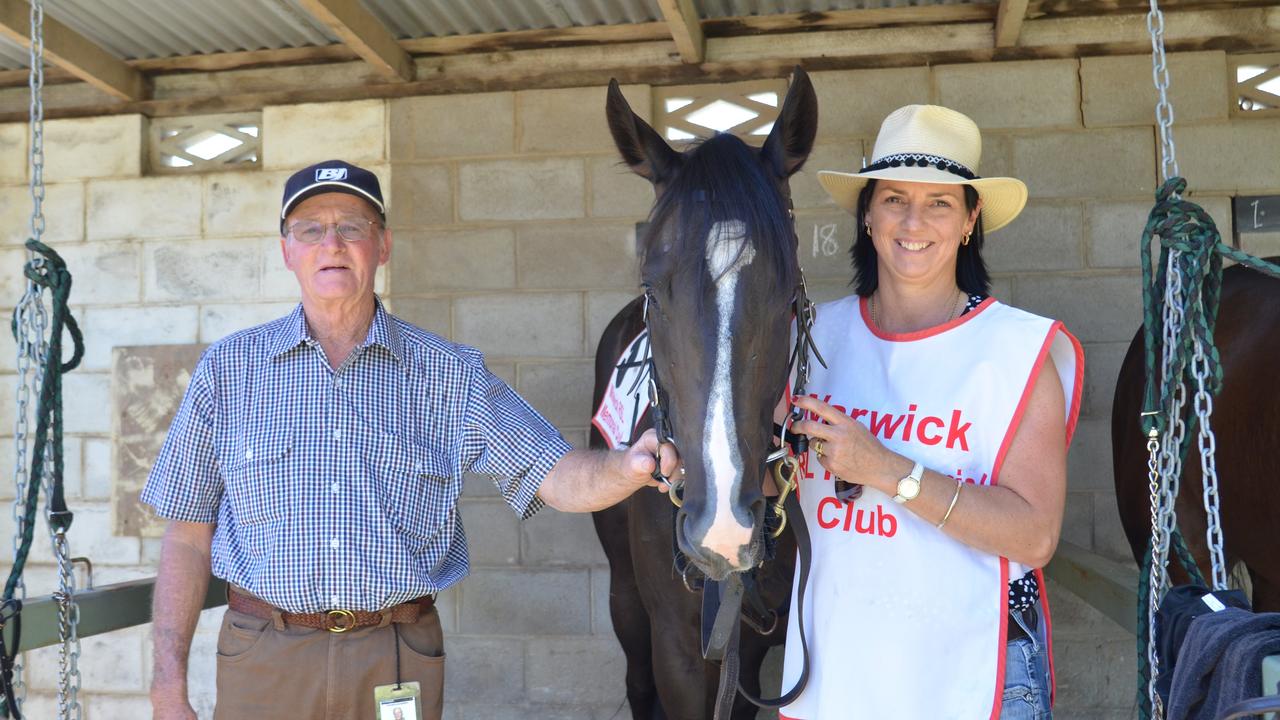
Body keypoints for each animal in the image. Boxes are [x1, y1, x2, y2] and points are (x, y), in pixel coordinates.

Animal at [586, 70, 814, 712]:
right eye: (652, 289)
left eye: (788, 292)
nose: (722, 525)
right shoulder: (676, 648)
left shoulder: (755, 643)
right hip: (625, 599)